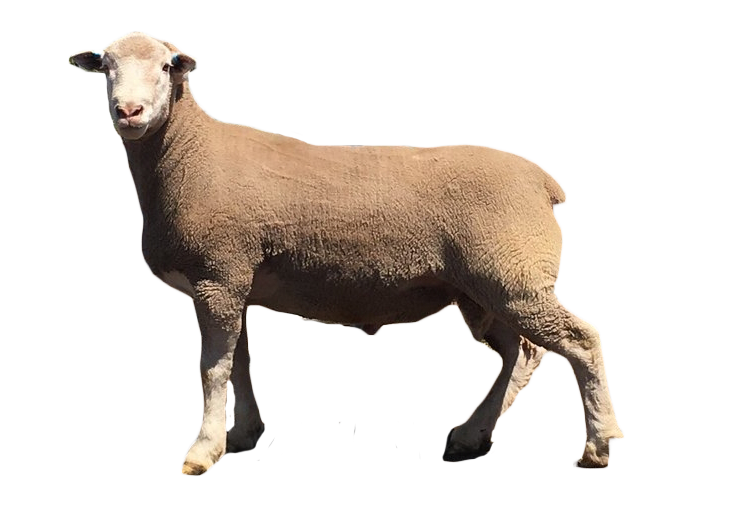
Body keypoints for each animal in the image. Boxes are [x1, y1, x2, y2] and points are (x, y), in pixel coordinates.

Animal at [72, 31, 624, 476]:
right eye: (104, 66)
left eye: (168, 65)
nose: (128, 112)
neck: (190, 154)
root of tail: (546, 183)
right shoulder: (232, 278)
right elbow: (238, 360)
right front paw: (243, 433)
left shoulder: (218, 274)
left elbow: (214, 368)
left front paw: (202, 451)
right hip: (486, 286)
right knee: (521, 351)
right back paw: (471, 435)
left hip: (510, 275)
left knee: (578, 340)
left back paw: (602, 443)